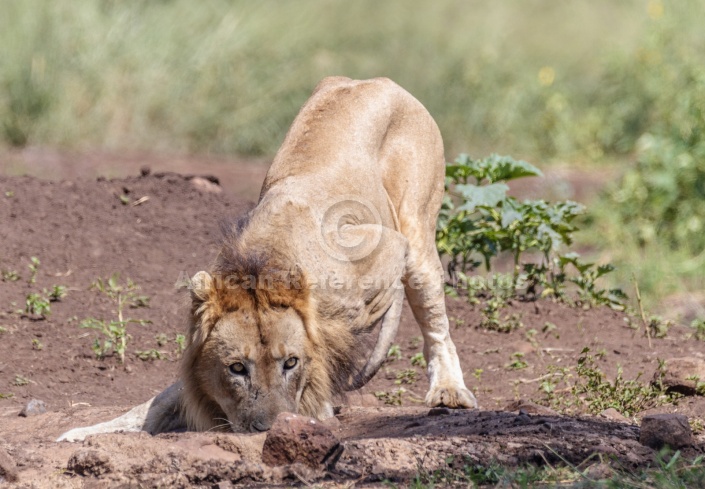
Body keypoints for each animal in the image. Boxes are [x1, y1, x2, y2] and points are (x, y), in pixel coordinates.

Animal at [57, 76, 476, 442]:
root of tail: (379, 81)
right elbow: (152, 405)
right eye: (237, 368)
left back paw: (449, 391)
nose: (270, 428)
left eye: (290, 363)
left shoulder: (385, 246)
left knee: (433, 318)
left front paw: (320, 403)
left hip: (417, 232)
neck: (262, 263)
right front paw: (81, 433)